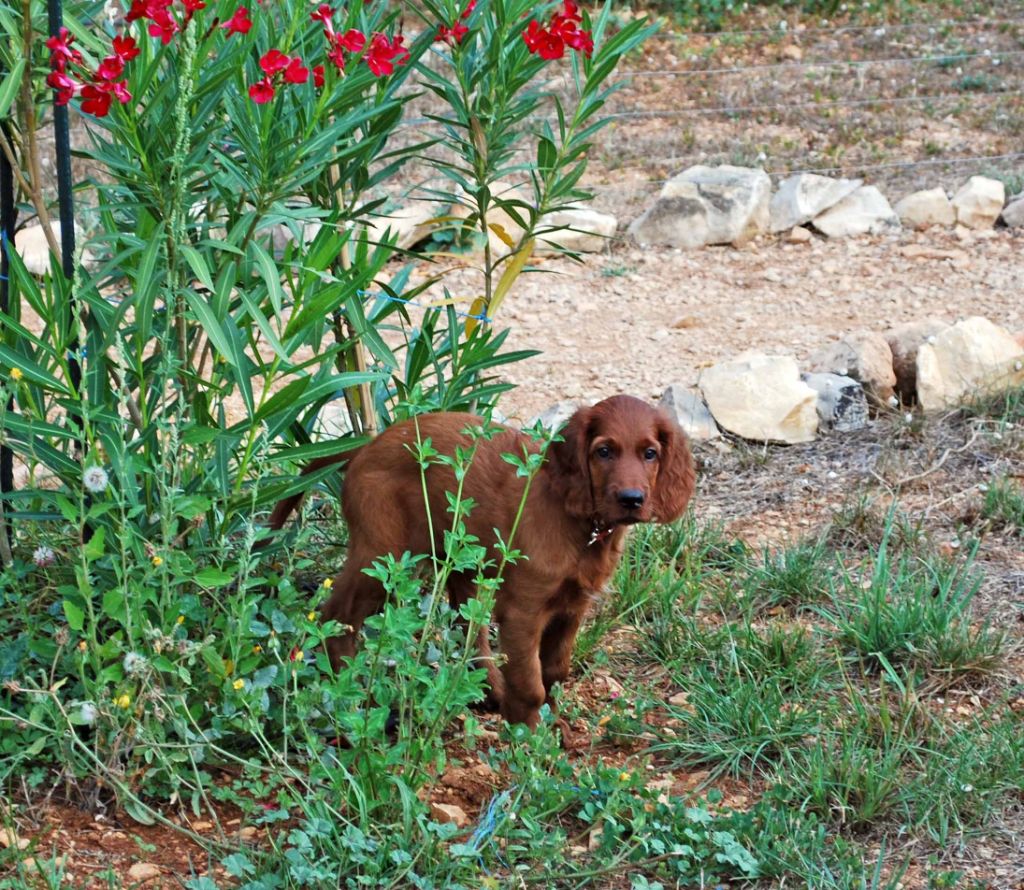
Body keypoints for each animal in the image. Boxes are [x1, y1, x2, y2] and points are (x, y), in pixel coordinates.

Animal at [266, 395, 696, 729]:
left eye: (650, 453)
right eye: (603, 451)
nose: (631, 499)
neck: (583, 528)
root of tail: (366, 447)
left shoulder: (573, 607)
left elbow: (555, 671)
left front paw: (554, 725)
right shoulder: (523, 610)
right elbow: (531, 681)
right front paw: (527, 736)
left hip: (460, 563)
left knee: (467, 629)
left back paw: (488, 692)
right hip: (383, 557)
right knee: (336, 615)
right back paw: (350, 688)